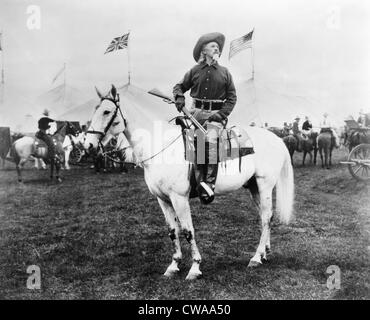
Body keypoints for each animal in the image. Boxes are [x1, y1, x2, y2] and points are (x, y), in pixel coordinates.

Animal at [84, 87, 294, 280]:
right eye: (94, 109)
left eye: (106, 111)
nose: (88, 145)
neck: (161, 147)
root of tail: (277, 138)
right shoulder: (163, 200)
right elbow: (172, 231)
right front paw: (173, 265)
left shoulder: (179, 199)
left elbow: (187, 231)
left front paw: (195, 267)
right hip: (253, 187)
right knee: (266, 217)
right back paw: (265, 252)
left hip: (265, 185)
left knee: (266, 217)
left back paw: (256, 257)